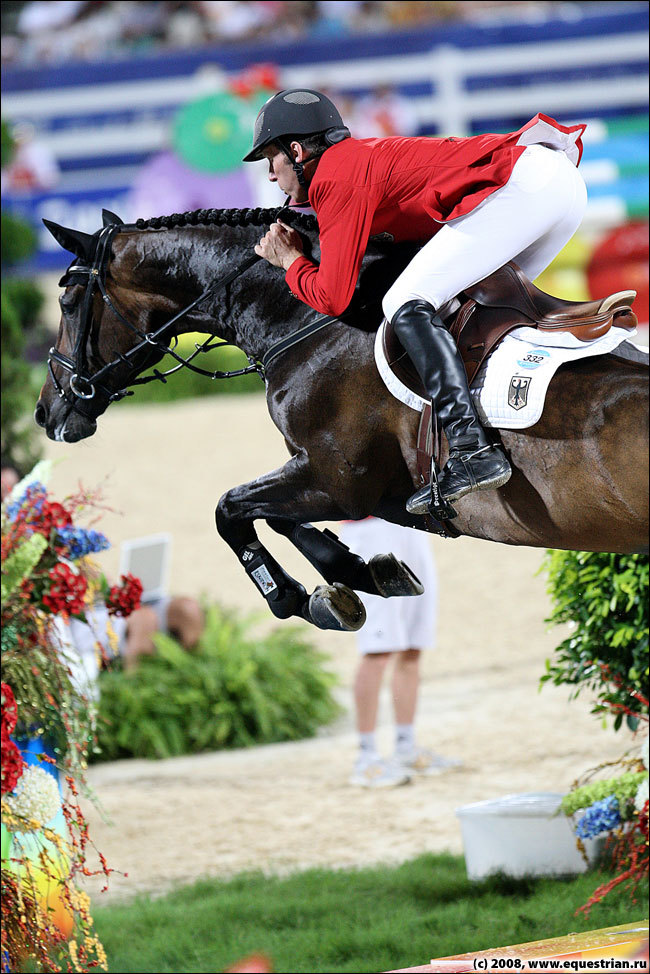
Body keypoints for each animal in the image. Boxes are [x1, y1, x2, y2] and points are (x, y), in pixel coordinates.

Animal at [35, 206, 648, 632]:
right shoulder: (330, 480)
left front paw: (301, 598)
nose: (48, 411)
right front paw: (360, 575)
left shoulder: (338, 481)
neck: (308, 320)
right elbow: (276, 517)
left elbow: (229, 509)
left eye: (67, 303)